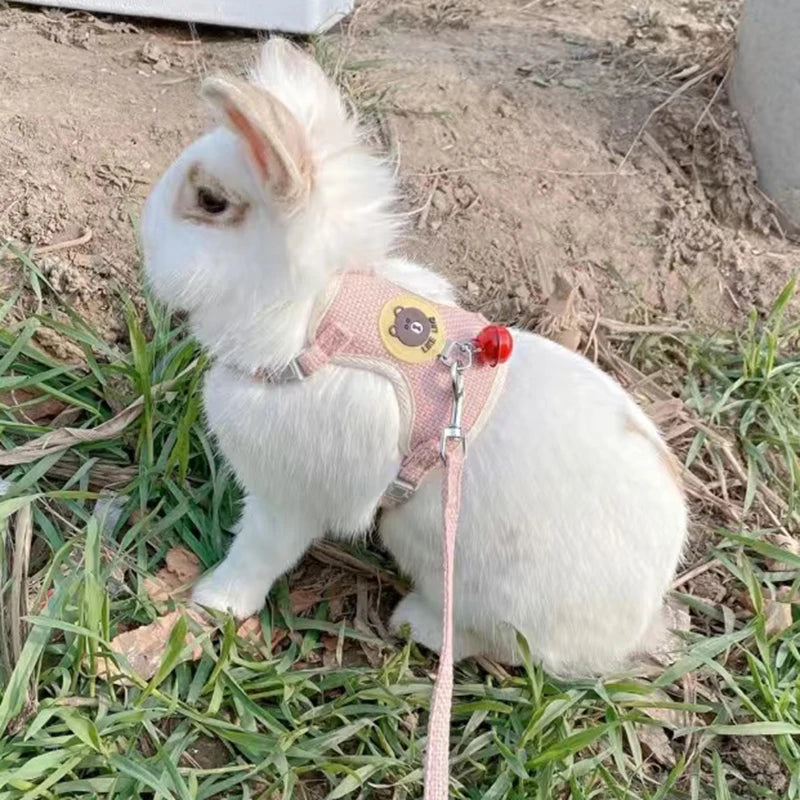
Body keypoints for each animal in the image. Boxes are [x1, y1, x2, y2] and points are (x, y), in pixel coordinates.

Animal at [141, 38, 687, 677]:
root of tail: (637, 622)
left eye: (210, 201)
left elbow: (259, 553)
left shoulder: (289, 497)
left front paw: (215, 601)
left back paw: (415, 623)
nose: (144, 234)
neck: (318, 318)